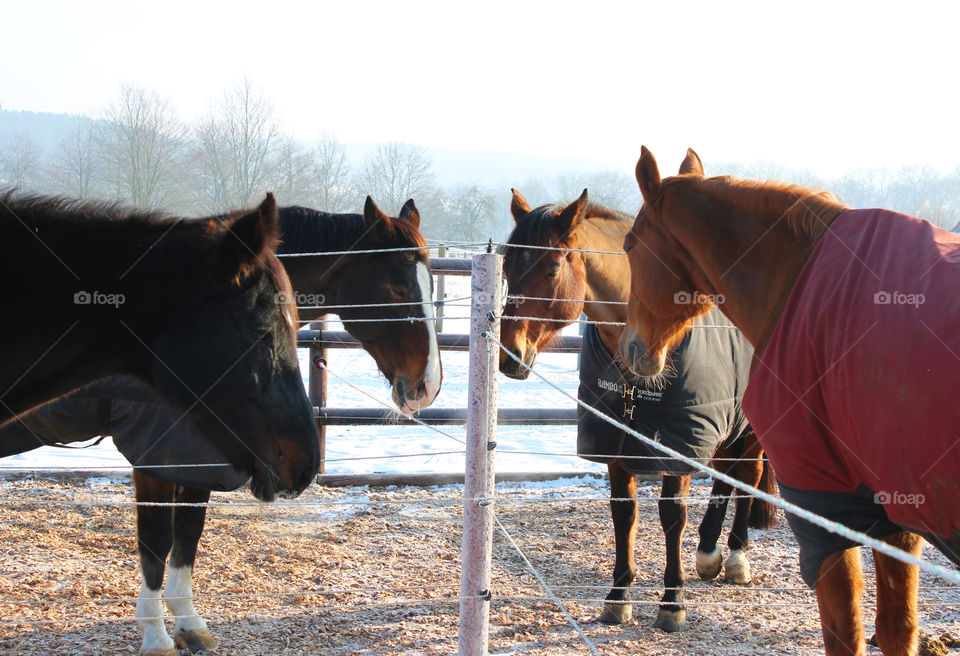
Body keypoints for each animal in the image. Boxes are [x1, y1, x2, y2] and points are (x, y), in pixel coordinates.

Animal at [498, 188, 775, 632]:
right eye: (507, 267)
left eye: (552, 268)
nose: (510, 356)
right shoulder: (616, 441)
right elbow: (624, 514)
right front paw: (618, 597)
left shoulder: (677, 444)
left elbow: (671, 516)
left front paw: (672, 602)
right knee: (725, 475)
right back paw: (709, 553)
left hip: (749, 427)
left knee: (747, 476)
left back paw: (735, 557)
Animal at [620, 147, 960, 655]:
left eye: (628, 243)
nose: (631, 348)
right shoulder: (897, 516)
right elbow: (897, 629)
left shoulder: (827, 507)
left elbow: (846, 632)